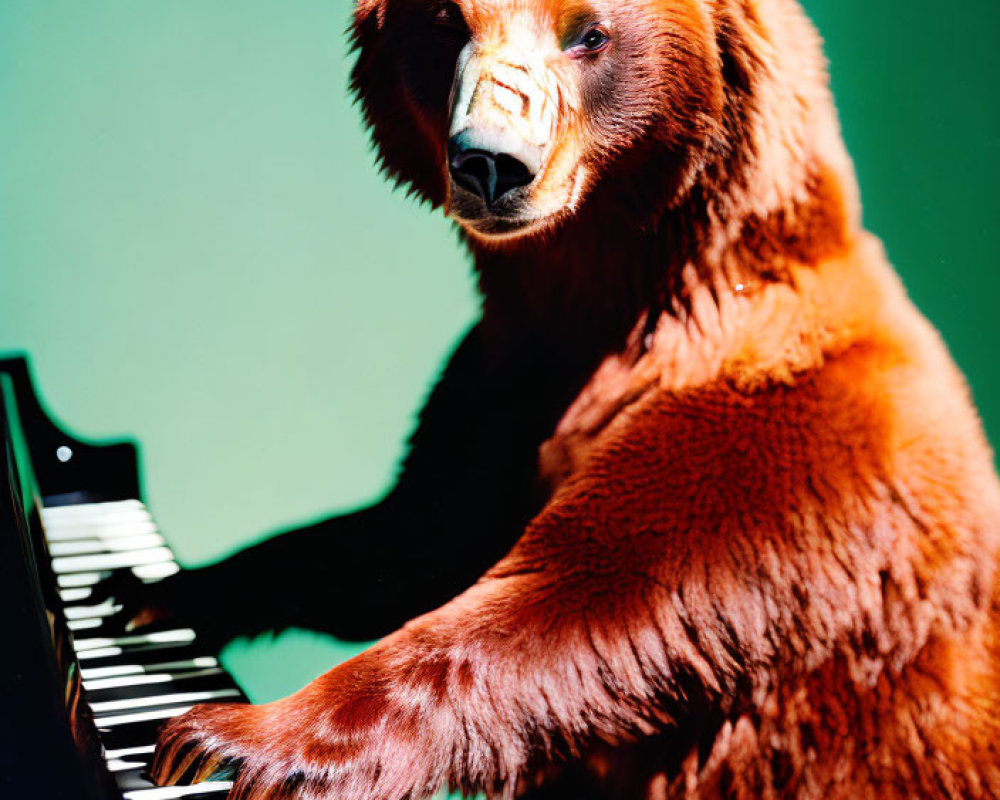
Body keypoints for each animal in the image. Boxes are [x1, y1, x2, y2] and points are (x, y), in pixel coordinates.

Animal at [146, 0, 1000, 796]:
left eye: (588, 33)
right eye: (448, 22)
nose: (491, 164)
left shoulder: (782, 439)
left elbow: (584, 600)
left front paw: (227, 739)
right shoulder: (504, 394)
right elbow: (405, 541)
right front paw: (161, 592)